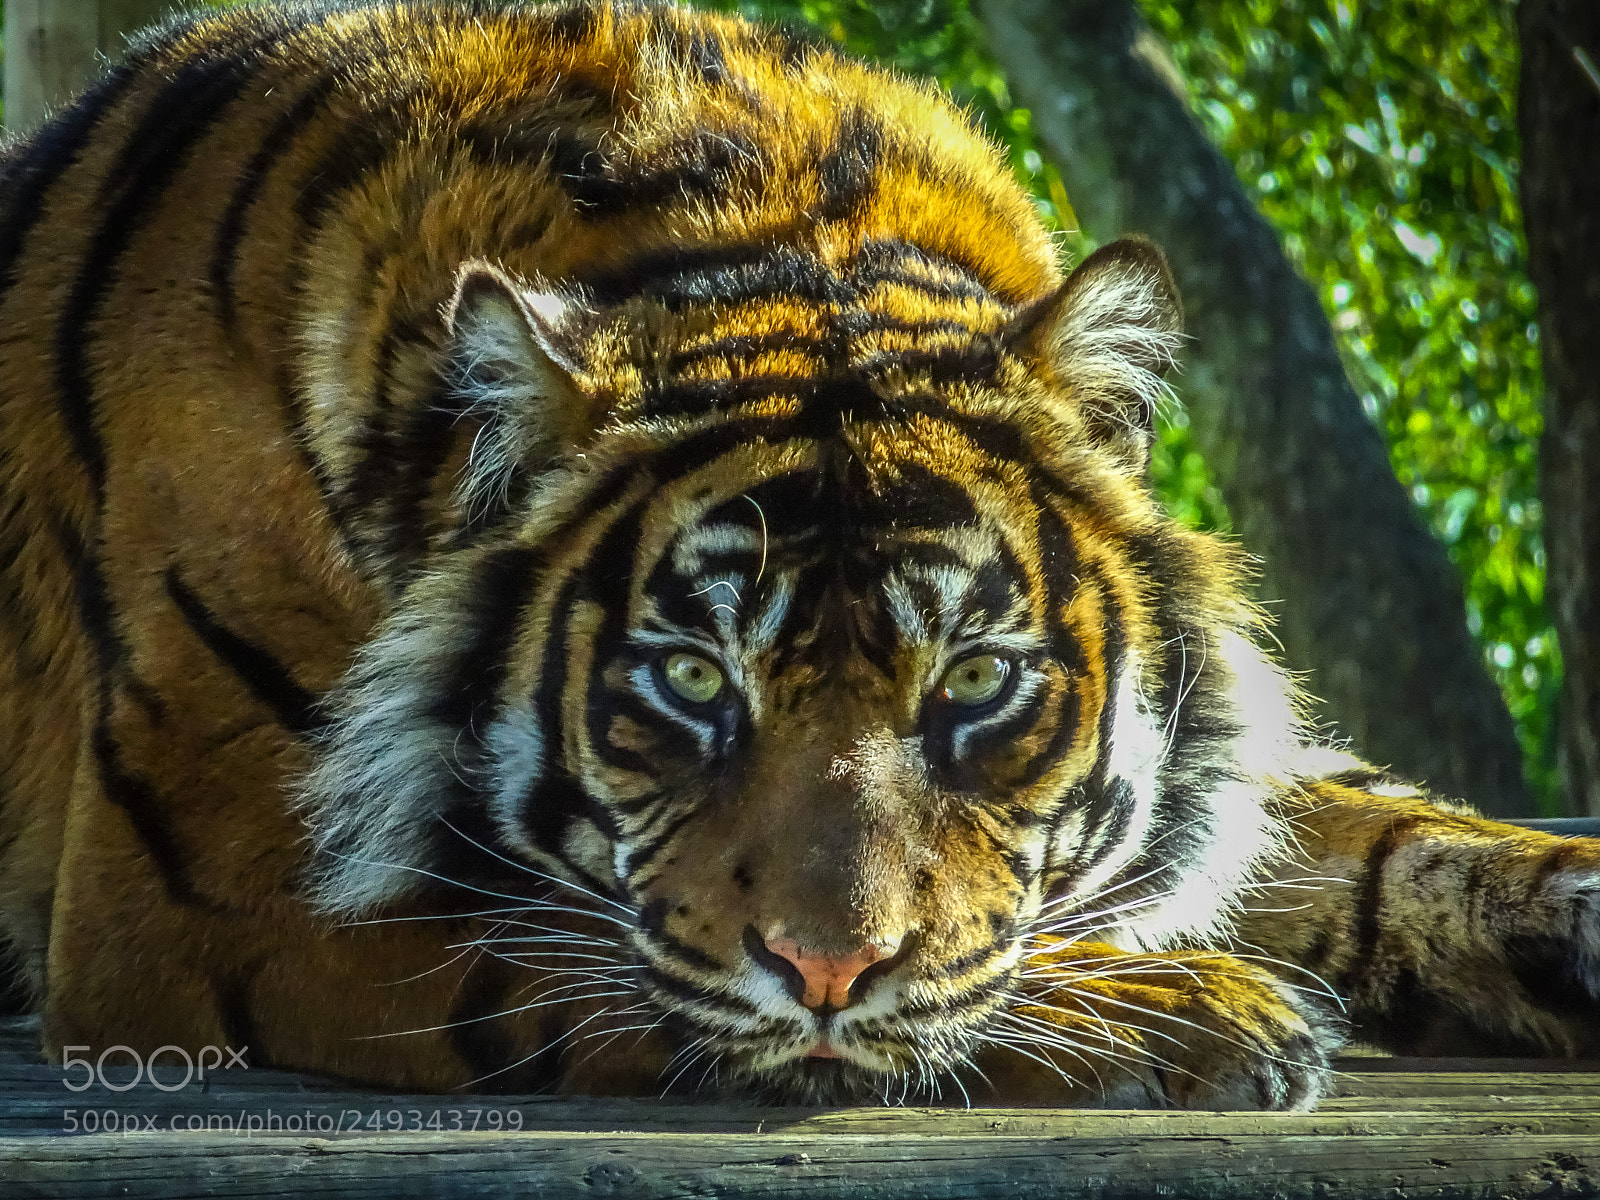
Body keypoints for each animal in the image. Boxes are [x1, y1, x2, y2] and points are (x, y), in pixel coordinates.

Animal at [0, 0, 1595, 1110]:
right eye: (694, 679)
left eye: (976, 685)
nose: (830, 969)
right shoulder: (211, 890)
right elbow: (567, 955)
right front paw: (1188, 1009)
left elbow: (1378, 834)